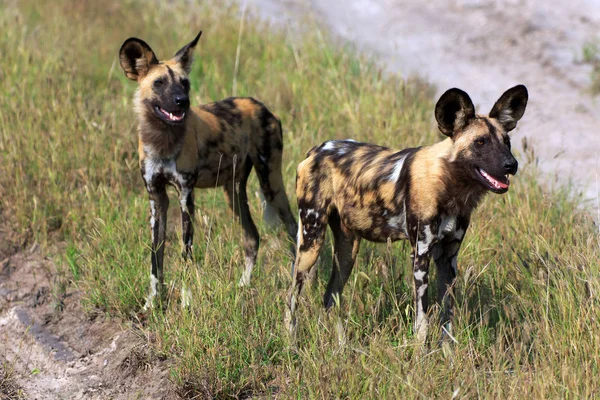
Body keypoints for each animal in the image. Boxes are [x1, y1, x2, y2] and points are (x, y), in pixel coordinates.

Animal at [119, 31, 298, 308]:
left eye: (185, 83)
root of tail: (264, 108)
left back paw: (295, 281)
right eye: (159, 83)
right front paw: (153, 303)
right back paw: (243, 285)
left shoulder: (185, 197)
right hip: (234, 193)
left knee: (293, 229)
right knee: (252, 237)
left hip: (271, 185)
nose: (183, 101)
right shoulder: (157, 199)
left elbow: (185, 254)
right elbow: (155, 257)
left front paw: (185, 303)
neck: (162, 141)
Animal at [288, 84, 528, 340]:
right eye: (481, 142)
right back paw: (291, 339)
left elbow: (447, 319)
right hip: (311, 241)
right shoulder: (421, 255)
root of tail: (316, 150)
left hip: (347, 249)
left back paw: (341, 345)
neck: (450, 187)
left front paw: (447, 351)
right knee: (292, 296)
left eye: (506, 142)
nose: (512, 165)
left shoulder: (448, 258)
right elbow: (422, 320)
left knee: (330, 296)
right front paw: (420, 349)